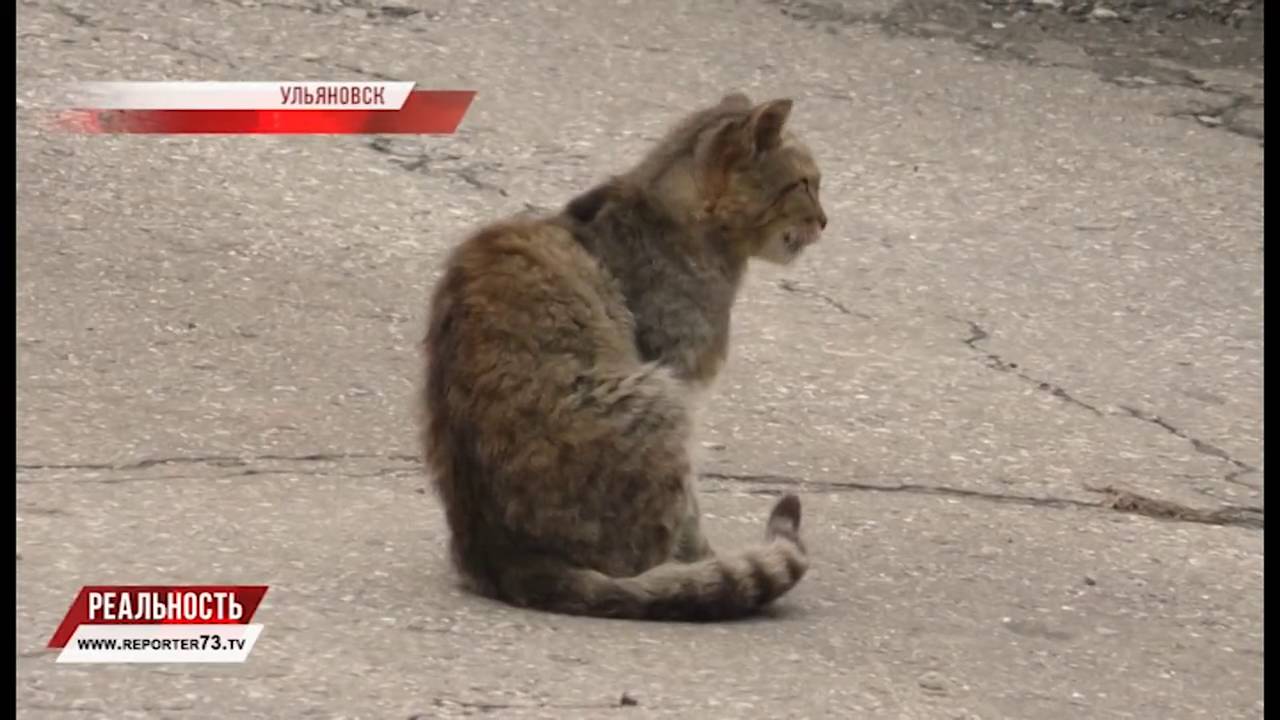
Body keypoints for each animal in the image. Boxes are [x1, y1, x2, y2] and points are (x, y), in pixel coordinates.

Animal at [419, 90, 829, 617]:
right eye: (804, 184)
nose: (825, 221)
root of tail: (506, 559)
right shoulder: (678, 375)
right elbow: (692, 515)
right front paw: (709, 561)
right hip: (658, 400)